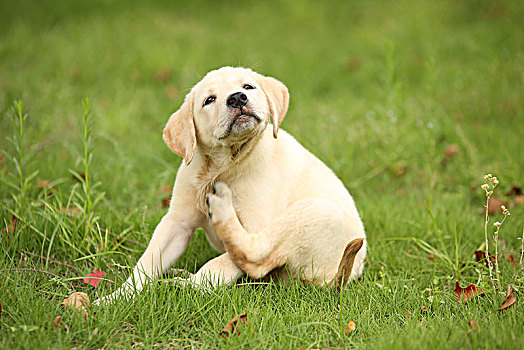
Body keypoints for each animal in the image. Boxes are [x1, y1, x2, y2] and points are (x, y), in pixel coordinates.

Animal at [93, 67, 364, 304]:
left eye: (248, 87)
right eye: (209, 100)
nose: (237, 98)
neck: (221, 168)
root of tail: (338, 279)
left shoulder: (256, 224)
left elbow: (222, 263)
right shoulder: (176, 223)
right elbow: (146, 264)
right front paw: (113, 299)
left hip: (316, 211)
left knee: (255, 258)